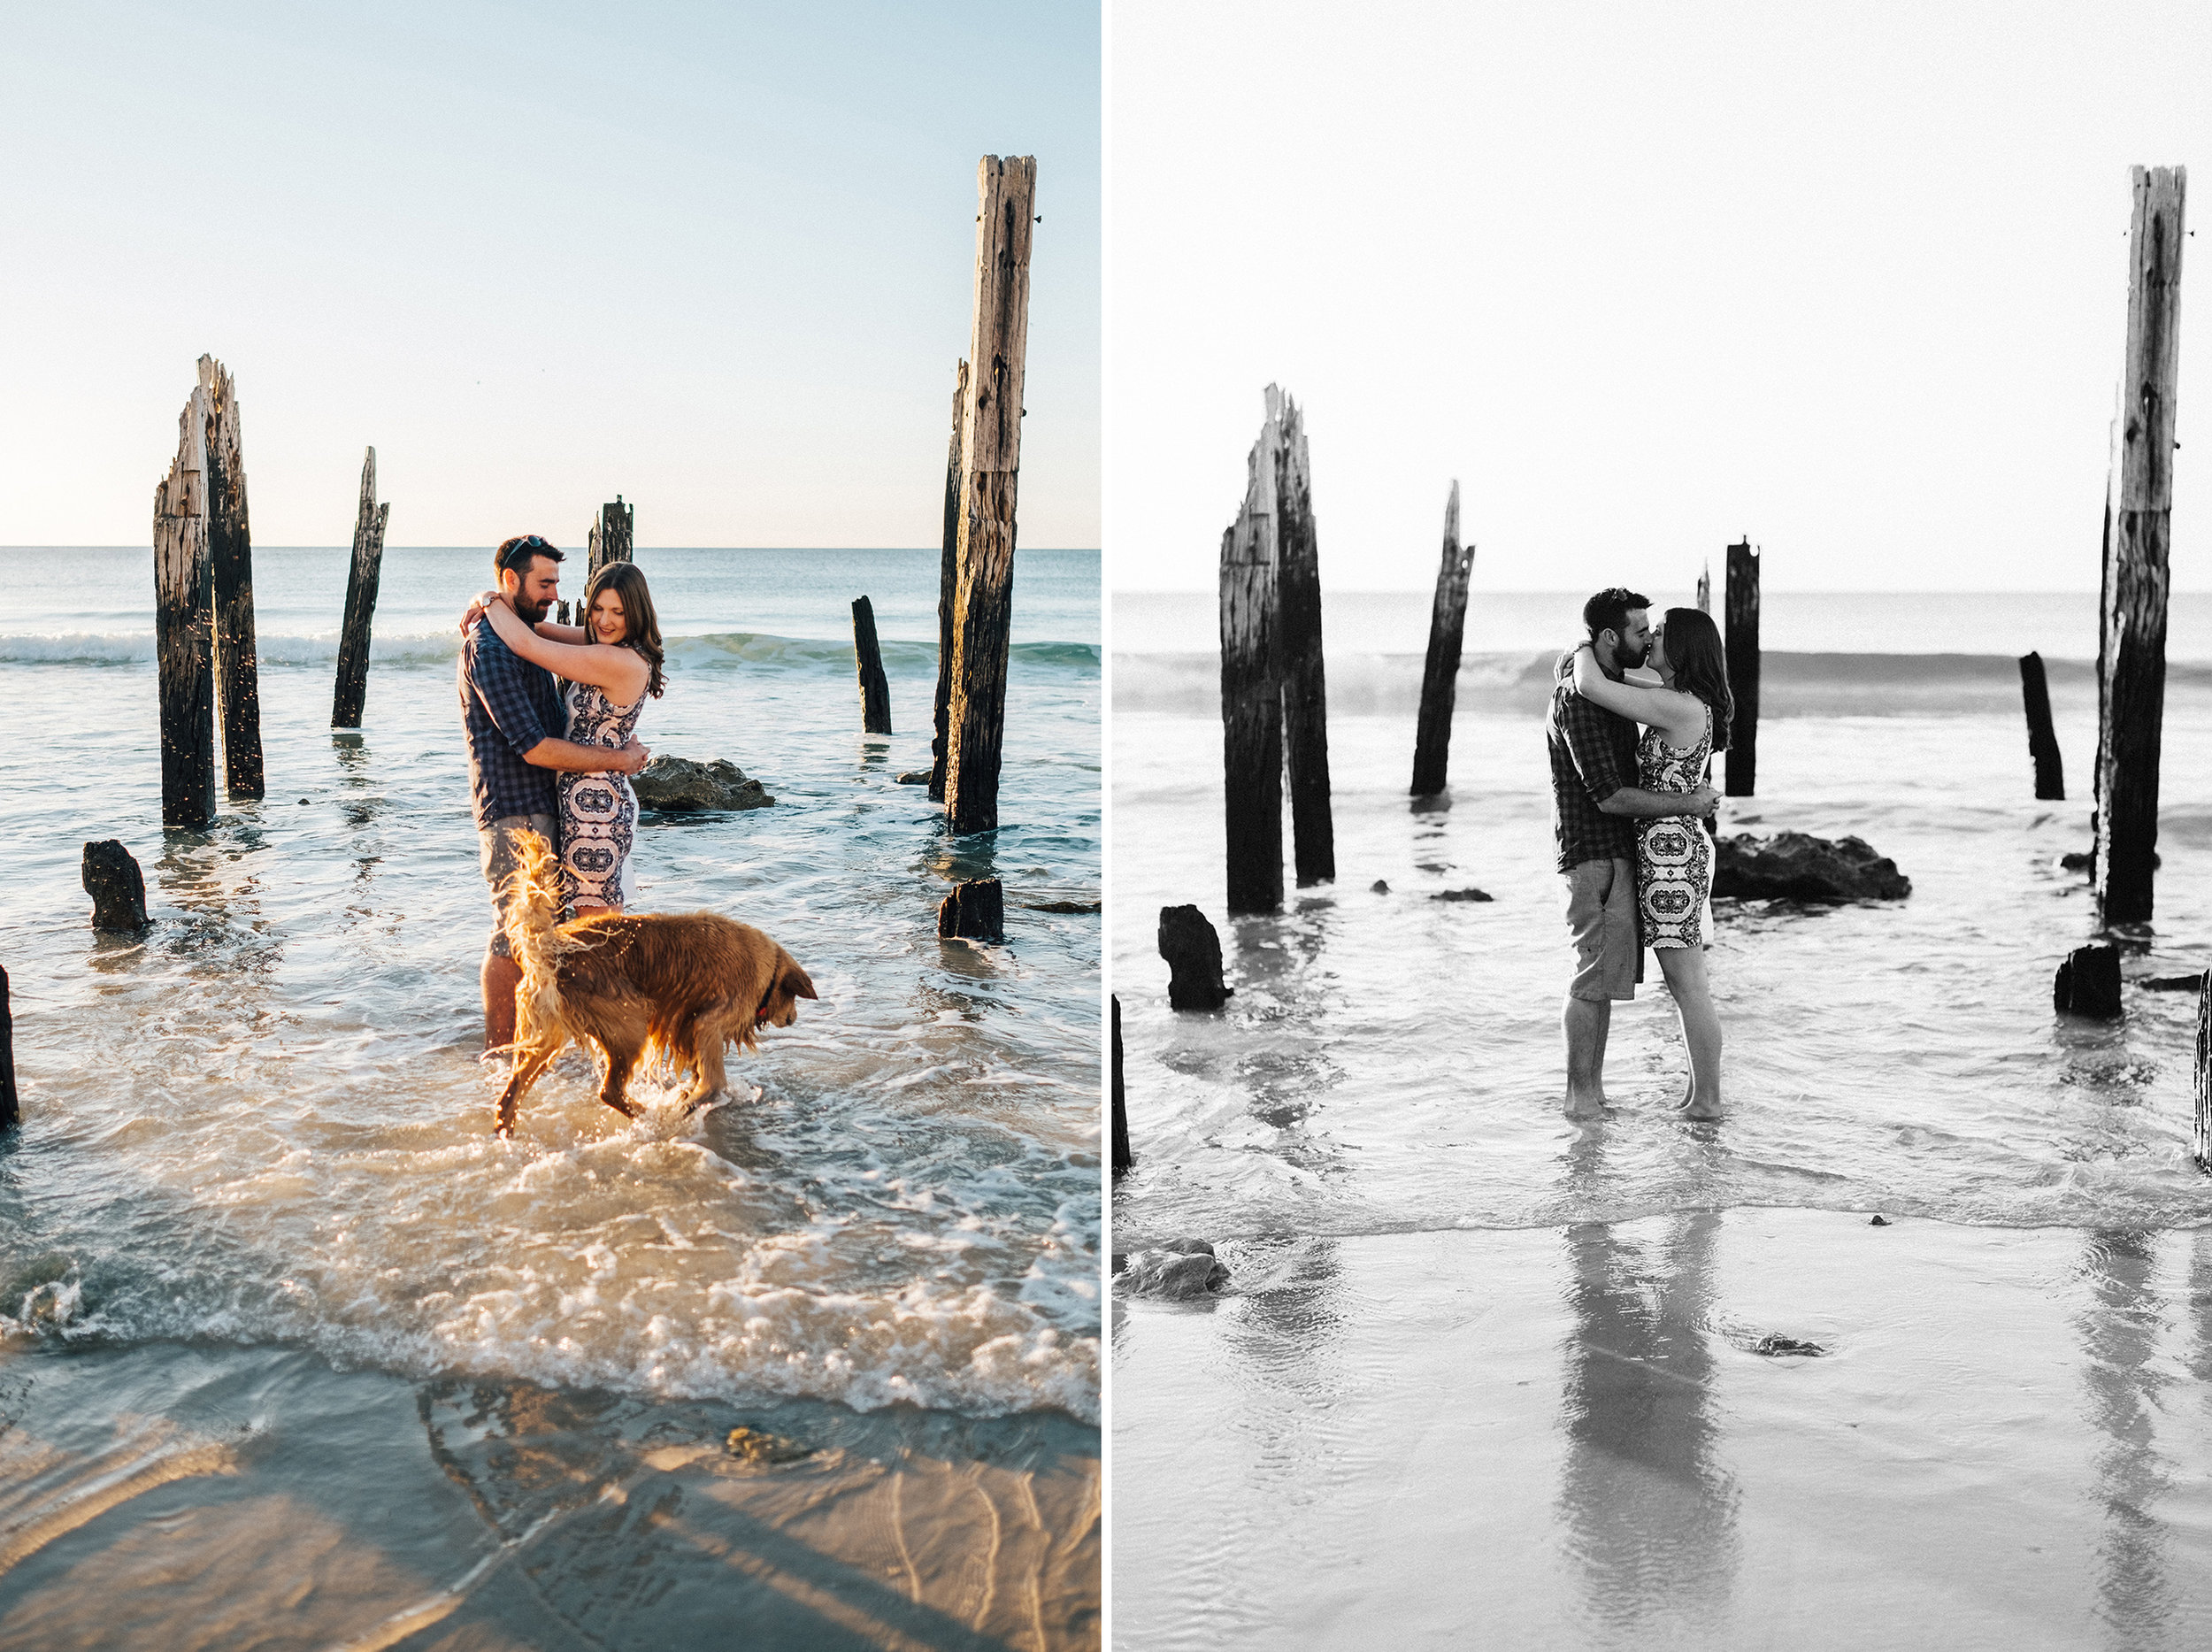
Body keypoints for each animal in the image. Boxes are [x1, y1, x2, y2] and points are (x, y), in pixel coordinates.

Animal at [493, 826, 823, 1141]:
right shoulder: (707, 1024)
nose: (793, 1018)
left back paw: (504, 1130)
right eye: (793, 998)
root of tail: (553, 947)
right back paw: (650, 1113)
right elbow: (714, 1081)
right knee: (609, 1090)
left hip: (549, 1035)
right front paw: (691, 1101)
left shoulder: (691, 1027)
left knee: (513, 1089)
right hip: (631, 1020)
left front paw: (693, 1094)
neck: (766, 967)